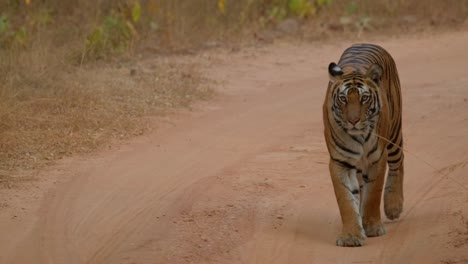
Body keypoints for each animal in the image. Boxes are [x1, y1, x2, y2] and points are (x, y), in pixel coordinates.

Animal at [324, 43, 404, 248]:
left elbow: (373, 195)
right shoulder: (340, 161)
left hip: (394, 134)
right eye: (343, 99)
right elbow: (345, 199)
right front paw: (351, 236)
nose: (353, 121)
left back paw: (394, 206)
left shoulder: (377, 159)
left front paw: (372, 227)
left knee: (398, 163)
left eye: (364, 98)